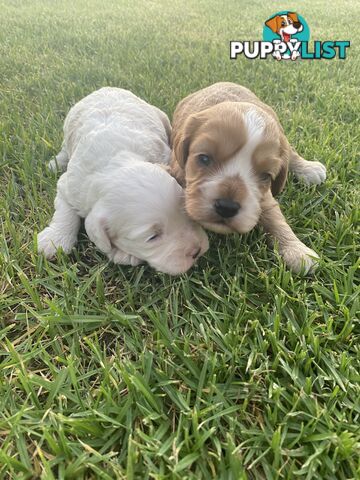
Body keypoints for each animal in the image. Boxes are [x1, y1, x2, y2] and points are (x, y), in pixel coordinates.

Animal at [37, 87, 208, 274]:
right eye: (152, 237)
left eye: (185, 212)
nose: (197, 251)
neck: (115, 162)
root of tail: (106, 88)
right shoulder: (70, 185)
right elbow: (64, 210)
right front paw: (54, 241)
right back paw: (56, 162)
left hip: (159, 115)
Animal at [170, 80, 328, 272]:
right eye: (204, 158)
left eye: (265, 176)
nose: (227, 207)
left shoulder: (263, 197)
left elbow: (275, 218)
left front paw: (297, 250)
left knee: (290, 151)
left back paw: (308, 168)